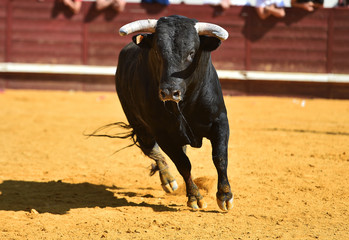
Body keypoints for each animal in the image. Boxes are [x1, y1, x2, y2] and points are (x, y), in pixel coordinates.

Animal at [115, 15, 232, 211]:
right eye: (157, 52)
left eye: (191, 52)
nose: (170, 92)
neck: (185, 104)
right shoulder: (163, 134)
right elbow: (183, 164)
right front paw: (195, 198)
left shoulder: (220, 121)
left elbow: (220, 157)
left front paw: (225, 196)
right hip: (140, 126)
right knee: (153, 151)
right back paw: (168, 181)